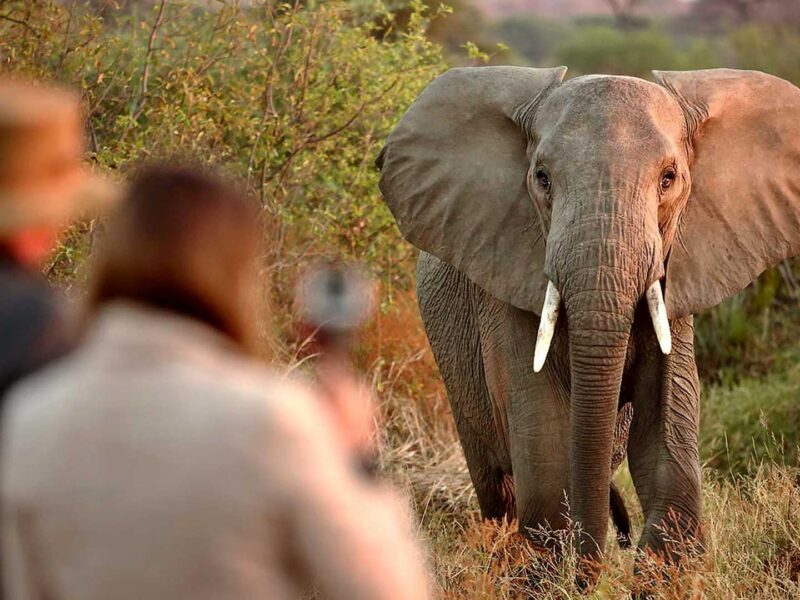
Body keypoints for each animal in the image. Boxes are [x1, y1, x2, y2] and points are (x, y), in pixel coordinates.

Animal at [378, 67, 800, 568]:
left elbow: (666, 432)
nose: (607, 547)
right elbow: (546, 441)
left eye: (669, 178)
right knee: (498, 485)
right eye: (542, 179)